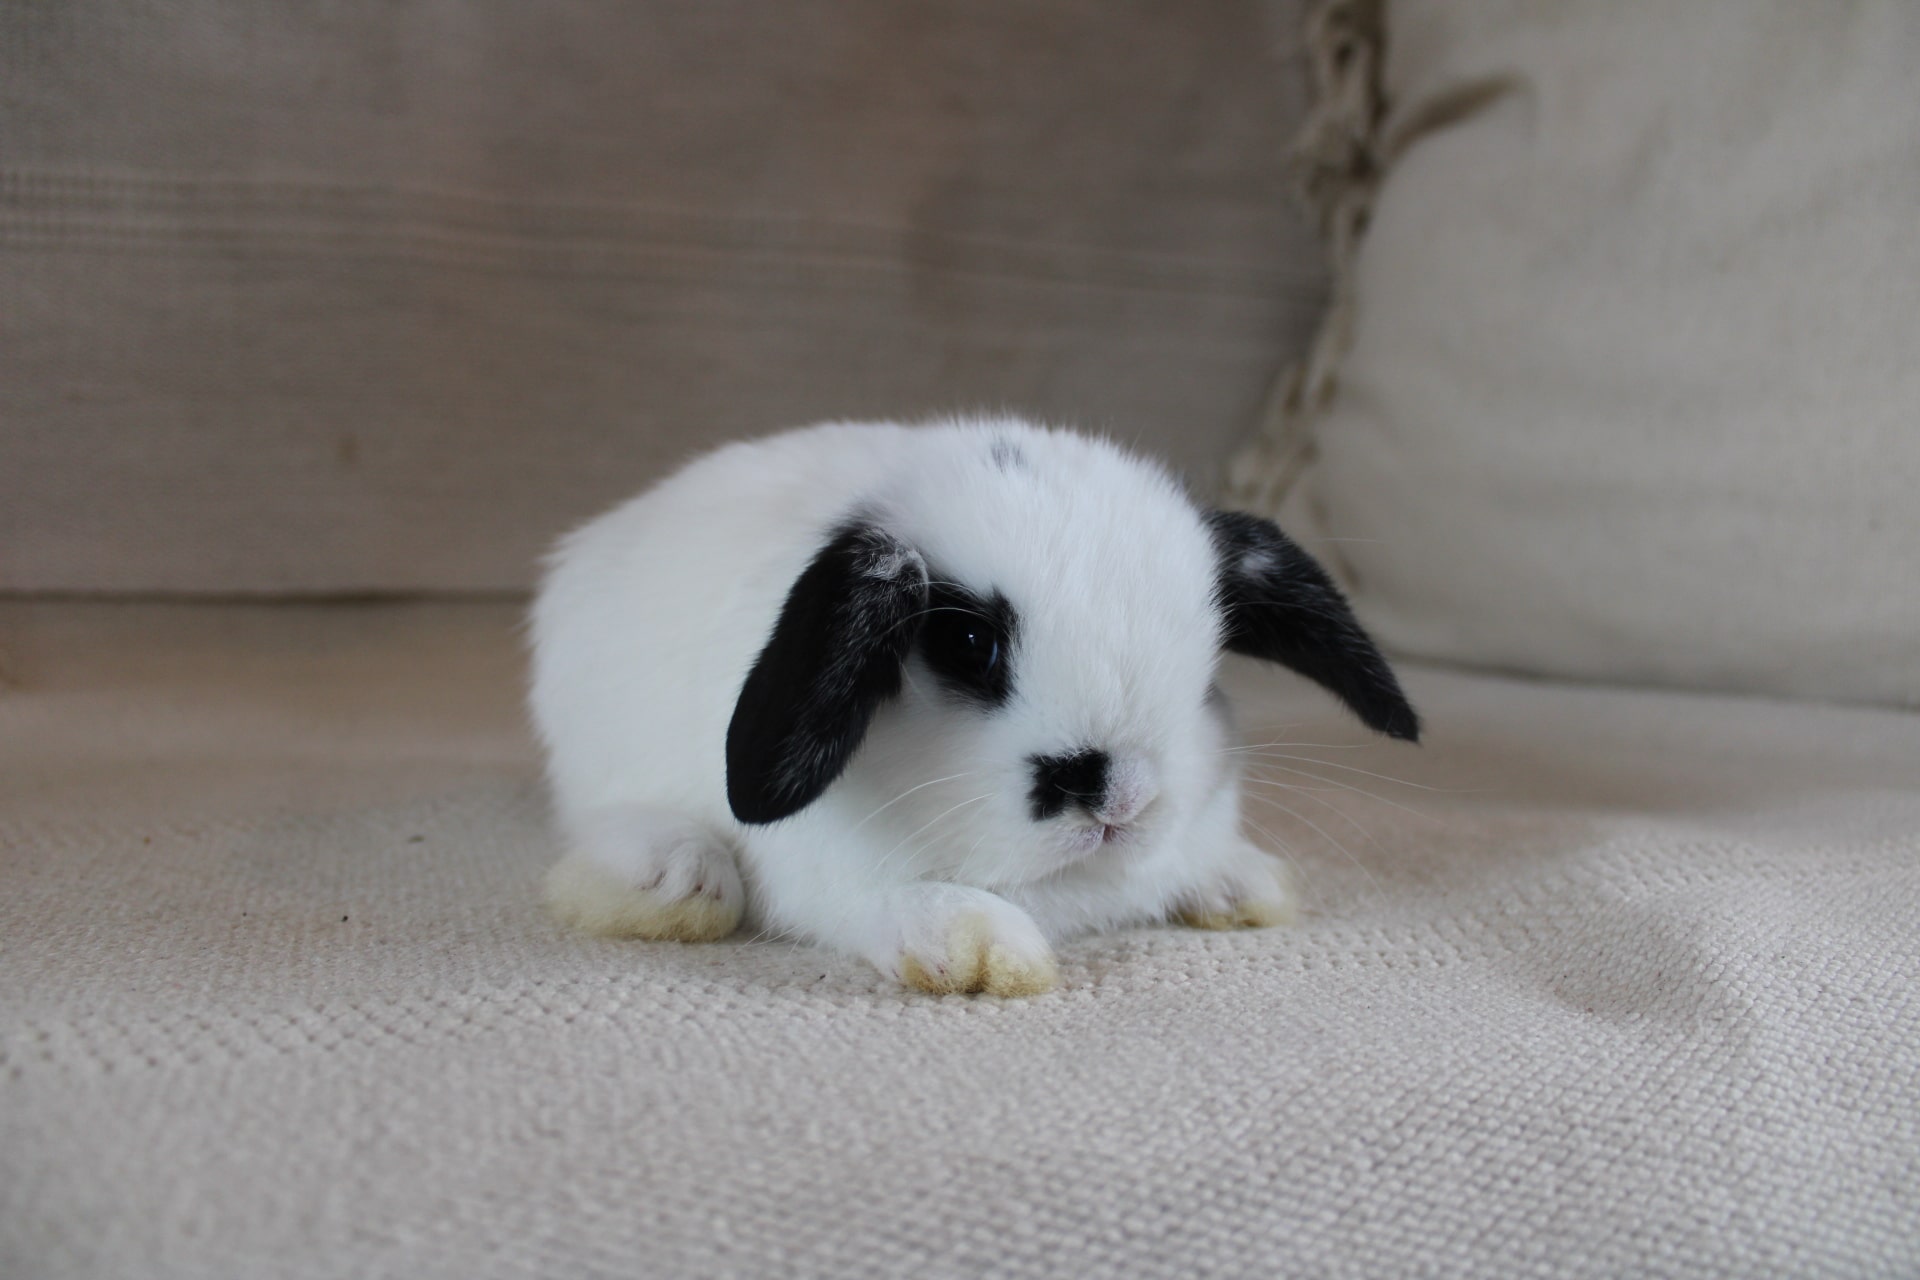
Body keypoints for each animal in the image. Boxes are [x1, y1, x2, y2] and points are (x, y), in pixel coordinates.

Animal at [529, 416, 1418, 996]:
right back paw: (670, 877)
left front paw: (1240, 883)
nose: (1120, 799)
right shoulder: (825, 870)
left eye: (1208, 660)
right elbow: (890, 901)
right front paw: (982, 951)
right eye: (964, 642)